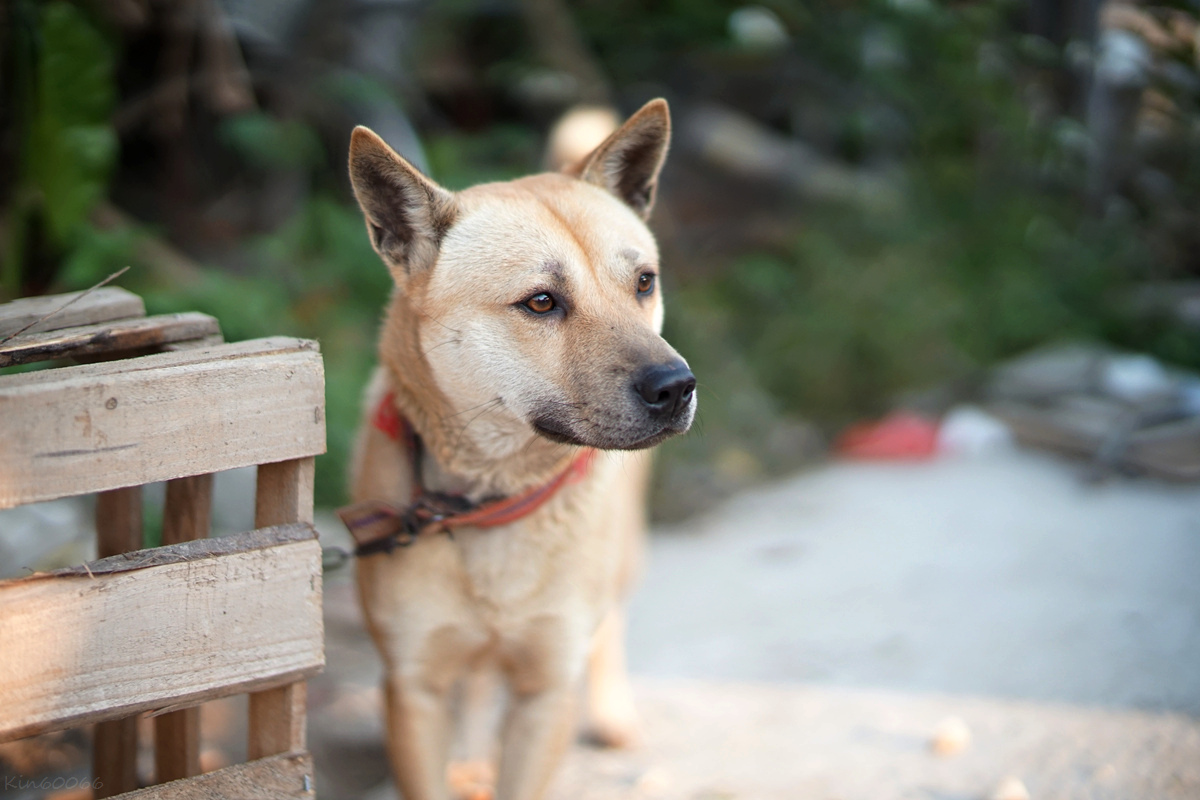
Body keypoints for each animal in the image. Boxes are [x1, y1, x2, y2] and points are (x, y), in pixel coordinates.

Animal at [345, 100, 696, 800]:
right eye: (540, 302)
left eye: (644, 283)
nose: (677, 386)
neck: (491, 500)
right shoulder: (413, 689)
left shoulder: (545, 692)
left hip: (622, 558)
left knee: (609, 625)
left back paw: (611, 711)